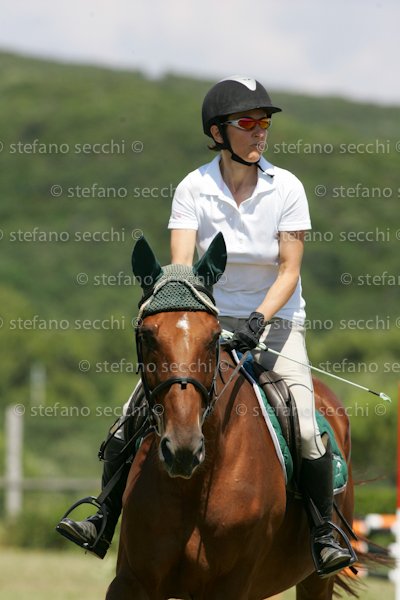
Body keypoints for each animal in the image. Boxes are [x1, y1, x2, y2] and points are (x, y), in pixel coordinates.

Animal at [105, 233, 357, 600]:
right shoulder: (131, 581)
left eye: (213, 337)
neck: (193, 486)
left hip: (316, 579)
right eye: (146, 335)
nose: (183, 450)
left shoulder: (231, 585)